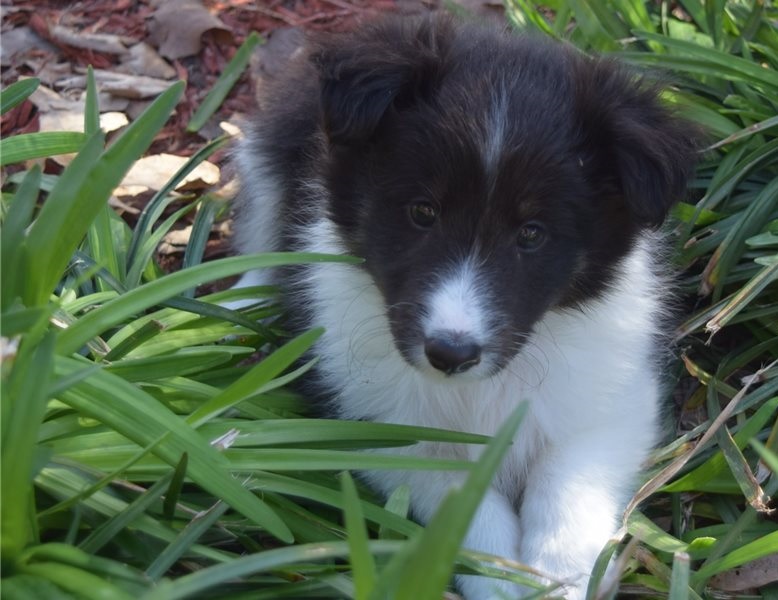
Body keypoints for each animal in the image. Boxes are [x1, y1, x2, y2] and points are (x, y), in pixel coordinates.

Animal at [227, 15, 696, 600]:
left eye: (532, 234)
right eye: (422, 212)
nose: (450, 354)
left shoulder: (612, 397)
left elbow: (568, 478)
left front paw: (564, 572)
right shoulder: (376, 422)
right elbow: (463, 501)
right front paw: (501, 581)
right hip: (272, 154)